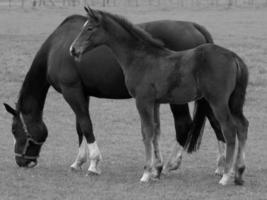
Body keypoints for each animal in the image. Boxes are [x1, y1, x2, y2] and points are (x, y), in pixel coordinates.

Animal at [3, 11, 226, 175]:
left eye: (14, 130)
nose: (21, 161)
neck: (56, 48)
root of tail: (194, 27)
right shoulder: (82, 93)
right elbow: (80, 127)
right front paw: (78, 161)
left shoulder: (71, 91)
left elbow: (86, 125)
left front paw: (93, 163)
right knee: (217, 123)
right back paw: (221, 165)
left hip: (178, 98)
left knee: (184, 124)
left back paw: (171, 164)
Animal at [70, 7, 250, 186]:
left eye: (89, 28)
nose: (73, 49)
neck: (140, 58)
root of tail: (233, 56)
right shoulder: (154, 102)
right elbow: (155, 131)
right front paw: (156, 171)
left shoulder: (142, 101)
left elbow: (146, 132)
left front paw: (146, 173)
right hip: (233, 102)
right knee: (242, 126)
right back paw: (239, 172)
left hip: (218, 101)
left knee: (229, 129)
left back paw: (226, 175)